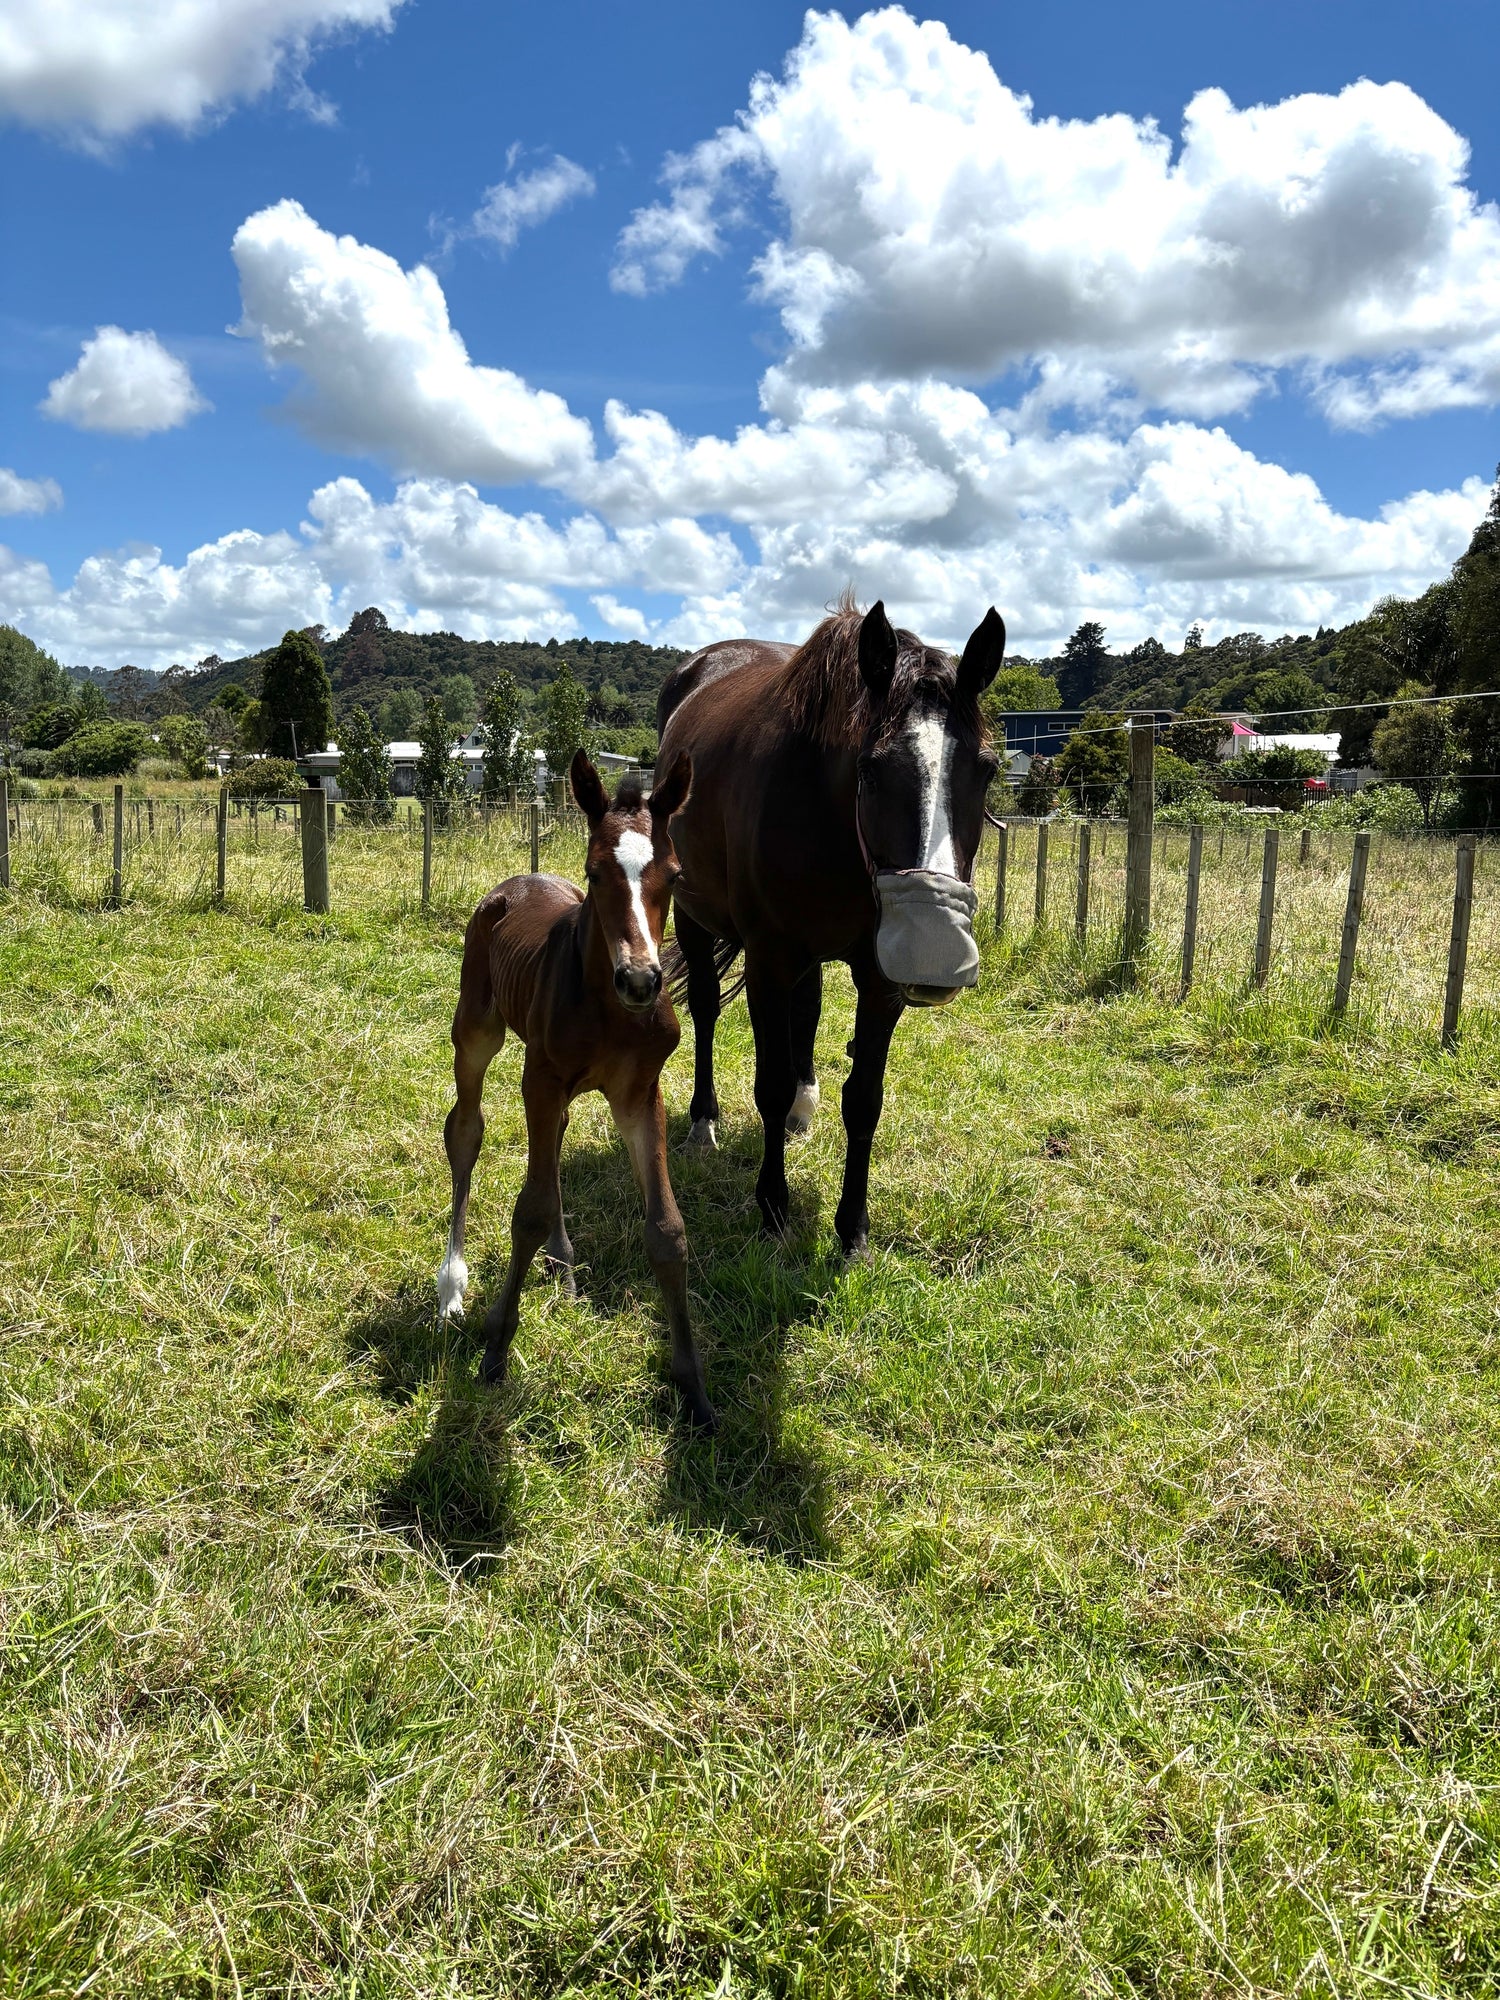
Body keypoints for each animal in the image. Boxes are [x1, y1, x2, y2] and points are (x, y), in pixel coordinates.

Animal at [435, 747, 716, 1431]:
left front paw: (693, 1390)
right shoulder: (541, 1077)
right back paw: (452, 1286)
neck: (610, 1012)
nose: (641, 979)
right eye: (594, 871)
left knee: (555, 1137)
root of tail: (518, 881)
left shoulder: (641, 1094)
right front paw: (495, 1351)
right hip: (476, 1031)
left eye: (674, 875)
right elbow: (529, 1209)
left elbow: (667, 1229)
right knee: (465, 1130)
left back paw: (561, 1262)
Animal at [656, 595, 1006, 1259]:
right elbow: (767, 1083)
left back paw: (803, 1103)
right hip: (693, 916)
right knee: (707, 1010)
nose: (935, 950)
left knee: (808, 1010)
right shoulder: (768, 962)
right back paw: (703, 1121)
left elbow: (864, 1099)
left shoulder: (879, 979)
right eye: (869, 768)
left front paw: (854, 1230)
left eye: (988, 770)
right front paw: (773, 1209)